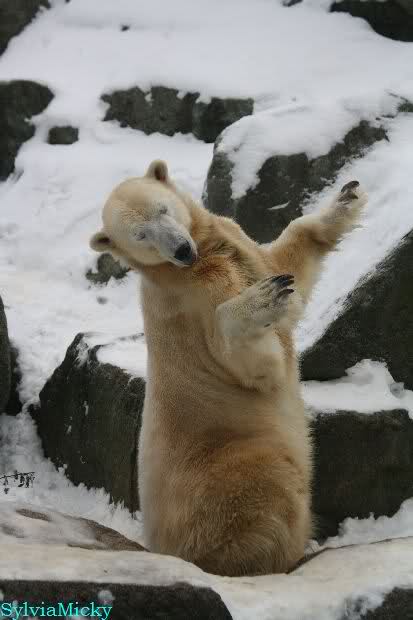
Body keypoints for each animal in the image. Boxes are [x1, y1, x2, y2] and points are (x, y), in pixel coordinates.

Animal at [90, 160, 367, 577]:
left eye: (162, 210)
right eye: (140, 234)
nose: (181, 249)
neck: (188, 267)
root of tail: (167, 548)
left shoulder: (234, 245)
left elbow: (285, 265)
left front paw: (346, 198)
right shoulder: (194, 302)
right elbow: (253, 364)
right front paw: (259, 303)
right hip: (231, 464)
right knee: (270, 484)